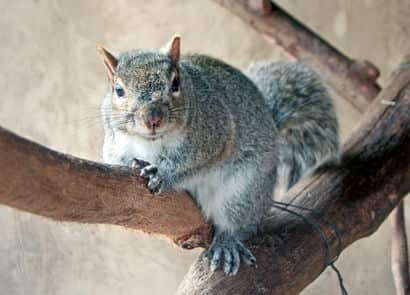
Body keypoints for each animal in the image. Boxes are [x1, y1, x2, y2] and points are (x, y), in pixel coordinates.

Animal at [97, 35, 338, 276]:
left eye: (175, 84)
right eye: (118, 90)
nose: (152, 119)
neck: (151, 143)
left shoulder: (216, 136)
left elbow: (191, 163)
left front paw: (162, 173)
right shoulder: (114, 145)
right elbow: (116, 160)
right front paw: (135, 165)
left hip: (244, 190)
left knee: (239, 222)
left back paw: (226, 242)